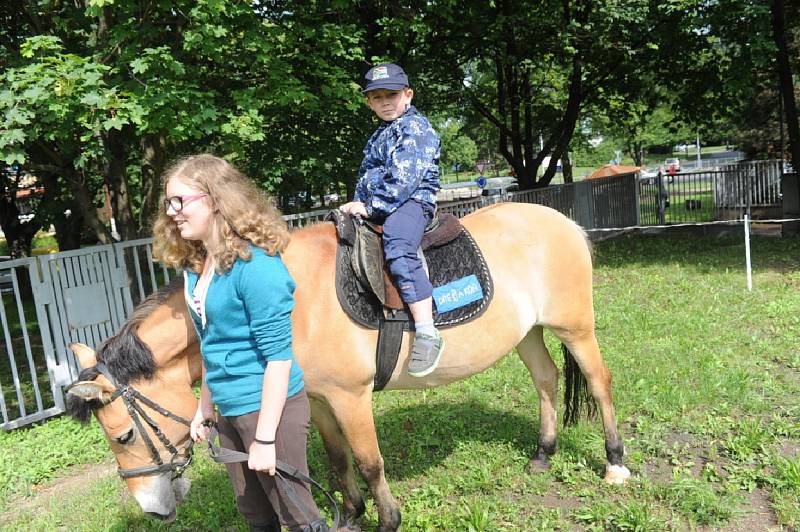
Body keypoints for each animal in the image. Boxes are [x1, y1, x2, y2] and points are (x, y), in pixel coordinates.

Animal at [65, 202, 632, 528]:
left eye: (122, 436)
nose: (150, 508)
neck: (288, 300)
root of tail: (560, 218)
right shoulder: (316, 400)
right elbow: (337, 462)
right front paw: (351, 514)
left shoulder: (350, 396)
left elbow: (367, 461)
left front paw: (386, 519)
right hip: (528, 331)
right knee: (546, 379)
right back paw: (543, 453)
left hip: (575, 326)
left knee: (600, 382)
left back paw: (615, 462)